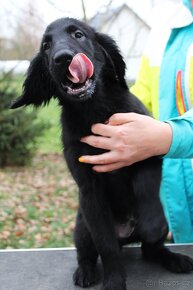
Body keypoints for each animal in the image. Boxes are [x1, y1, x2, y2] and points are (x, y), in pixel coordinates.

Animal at [10, 18, 193, 290]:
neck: (94, 108)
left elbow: (146, 188)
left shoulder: (146, 148)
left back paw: (174, 258)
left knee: (150, 249)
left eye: (78, 34)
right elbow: (106, 246)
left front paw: (152, 223)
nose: (62, 58)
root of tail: (126, 235)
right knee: (88, 253)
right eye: (46, 46)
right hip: (81, 228)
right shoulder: (89, 190)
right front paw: (114, 280)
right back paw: (85, 271)